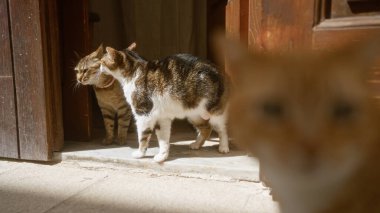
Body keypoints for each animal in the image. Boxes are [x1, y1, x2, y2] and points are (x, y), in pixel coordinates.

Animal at [96, 44, 230, 162]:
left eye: (102, 61)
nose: (99, 67)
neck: (134, 72)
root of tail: (218, 70)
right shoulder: (162, 118)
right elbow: (163, 139)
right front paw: (162, 156)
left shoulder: (144, 115)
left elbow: (142, 136)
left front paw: (140, 153)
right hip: (194, 115)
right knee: (206, 128)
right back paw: (196, 144)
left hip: (214, 112)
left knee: (222, 129)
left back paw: (224, 147)